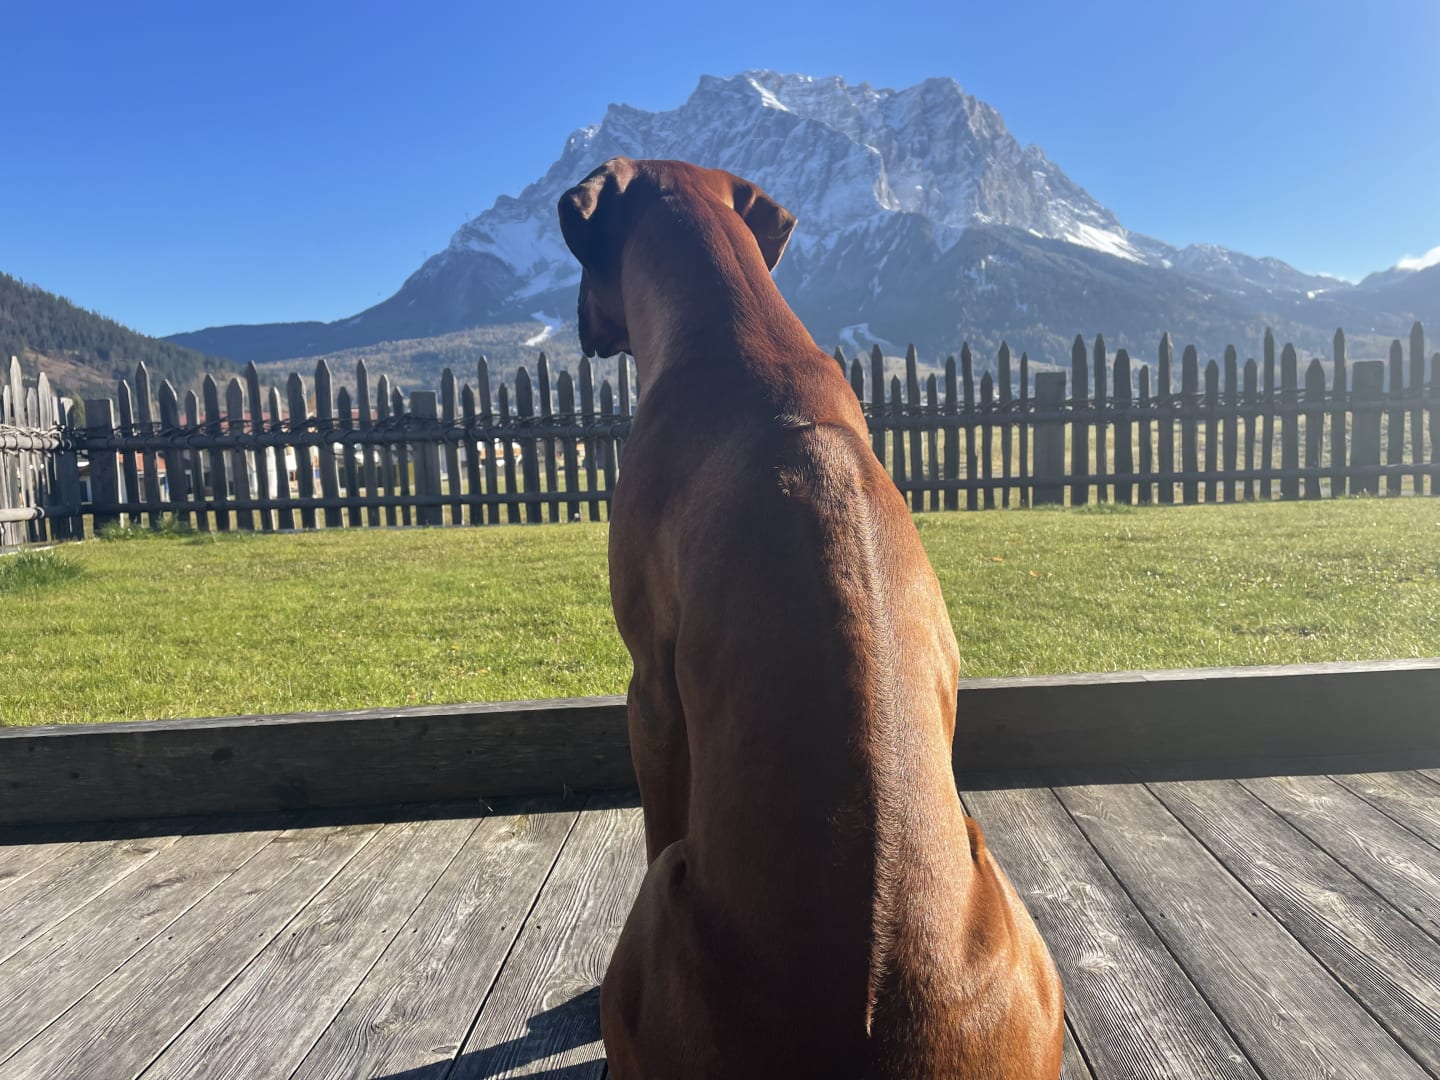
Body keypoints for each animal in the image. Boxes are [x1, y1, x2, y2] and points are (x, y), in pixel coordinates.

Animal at [559, 157, 1063, 1079]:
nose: (578, 323)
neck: (742, 342)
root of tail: (861, 1037)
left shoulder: (650, 694)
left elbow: (657, 805)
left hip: (664, 904)